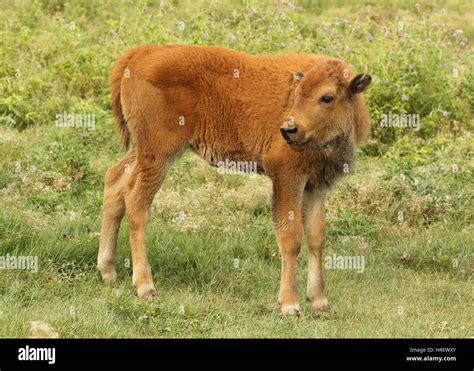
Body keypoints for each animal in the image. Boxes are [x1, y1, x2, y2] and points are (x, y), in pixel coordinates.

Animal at [97, 44, 370, 316]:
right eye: (297, 94)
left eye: (327, 97)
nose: (289, 130)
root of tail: (142, 51)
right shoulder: (286, 178)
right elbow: (291, 238)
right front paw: (290, 305)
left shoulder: (316, 186)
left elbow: (316, 238)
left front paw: (321, 301)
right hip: (158, 153)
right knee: (136, 200)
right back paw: (145, 286)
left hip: (141, 150)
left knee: (114, 182)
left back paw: (108, 272)